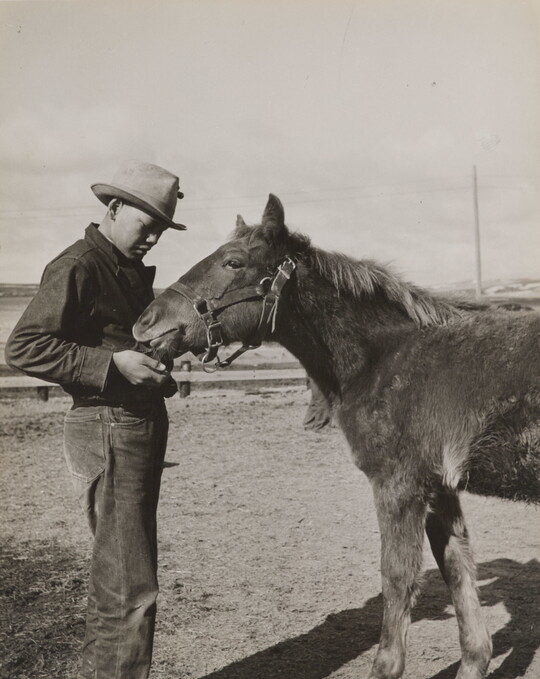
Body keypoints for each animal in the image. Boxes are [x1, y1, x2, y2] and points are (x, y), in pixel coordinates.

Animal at [133, 194, 540, 679]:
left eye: (233, 262)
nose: (146, 324)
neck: (384, 358)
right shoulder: (439, 488)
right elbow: (457, 569)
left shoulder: (399, 486)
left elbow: (397, 577)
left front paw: (386, 666)